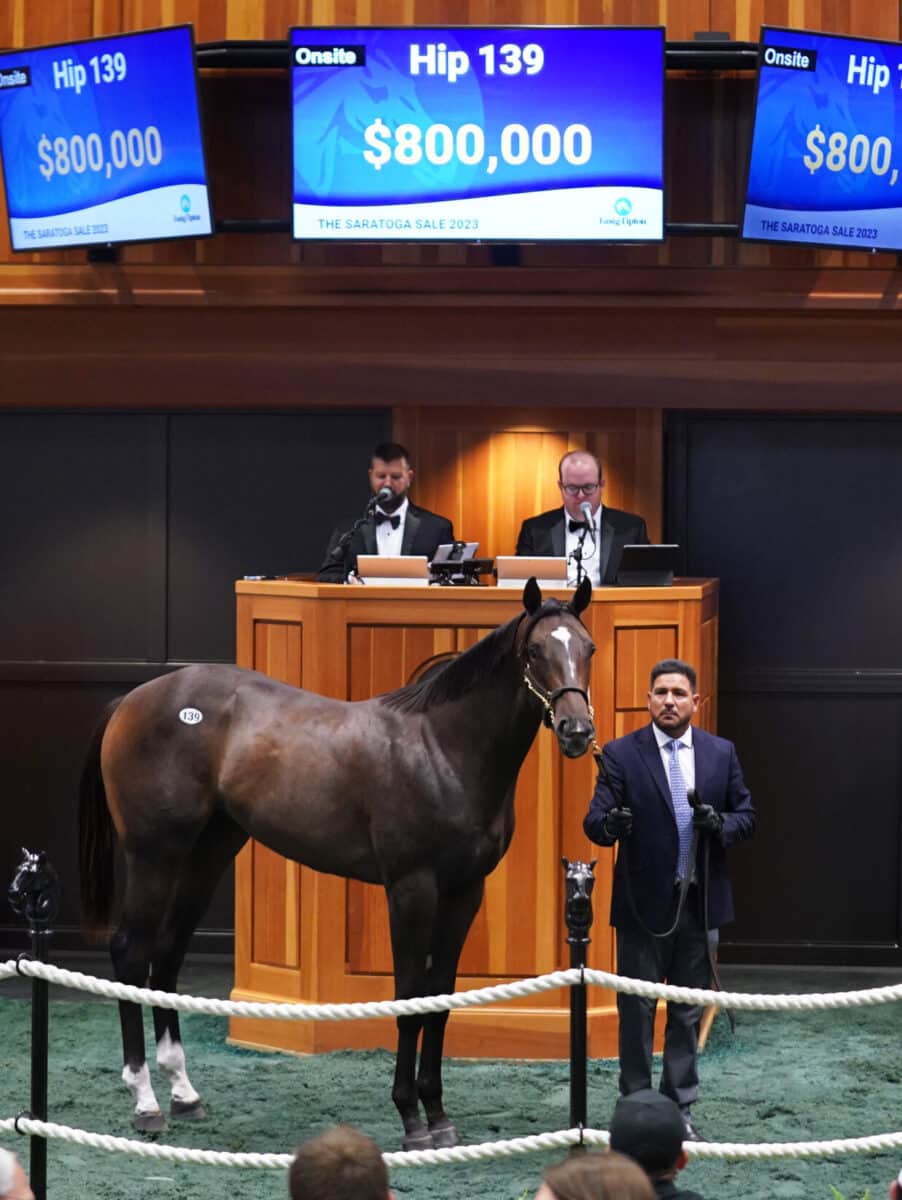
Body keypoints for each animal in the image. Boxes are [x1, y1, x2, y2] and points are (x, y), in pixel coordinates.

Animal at [79, 578, 599, 1142]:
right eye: (536, 651)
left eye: (588, 648)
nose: (576, 731)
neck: (442, 750)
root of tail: (132, 699)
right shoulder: (411, 888)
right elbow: (411, 998)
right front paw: (411, 1117)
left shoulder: (466, 891)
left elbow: (440, 998)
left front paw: (438, 1114)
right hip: (155, 853)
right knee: (132, 953)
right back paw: (145, 1100)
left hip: (207, 853)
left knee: (168, 952)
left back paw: (183, 1092)